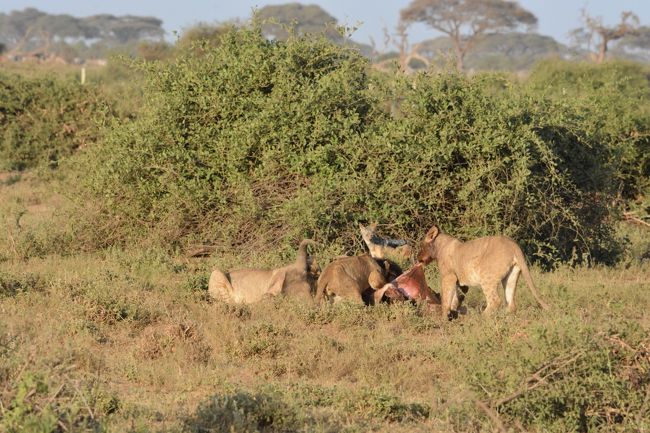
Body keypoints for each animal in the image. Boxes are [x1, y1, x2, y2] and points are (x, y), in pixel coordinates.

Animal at [416, 224, 548, 318]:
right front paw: (453, 314)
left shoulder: (448, 276)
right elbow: (454, 297)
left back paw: (482, 317)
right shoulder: (457, 281)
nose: (417, 258)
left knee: (495, 300)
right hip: (511, 275)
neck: (439, 246)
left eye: (421, 246)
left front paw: (444, 317)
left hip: (486, 276)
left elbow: (446, 297)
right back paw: (504, 317)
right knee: (511, 303)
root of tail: (513, 244)